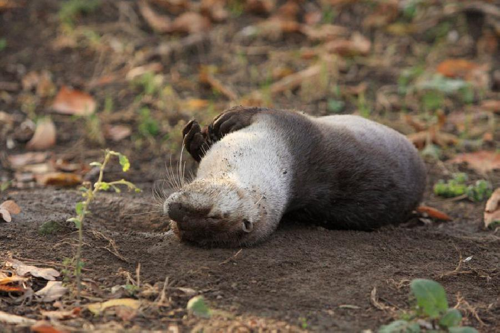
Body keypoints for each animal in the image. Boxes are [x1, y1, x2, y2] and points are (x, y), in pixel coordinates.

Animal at [163, 106, 426, 246]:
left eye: (215, 216)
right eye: (178, 226)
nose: (175, 211)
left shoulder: (292, 126)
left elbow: (262, 111)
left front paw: (231, 117)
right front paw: (196, 139)